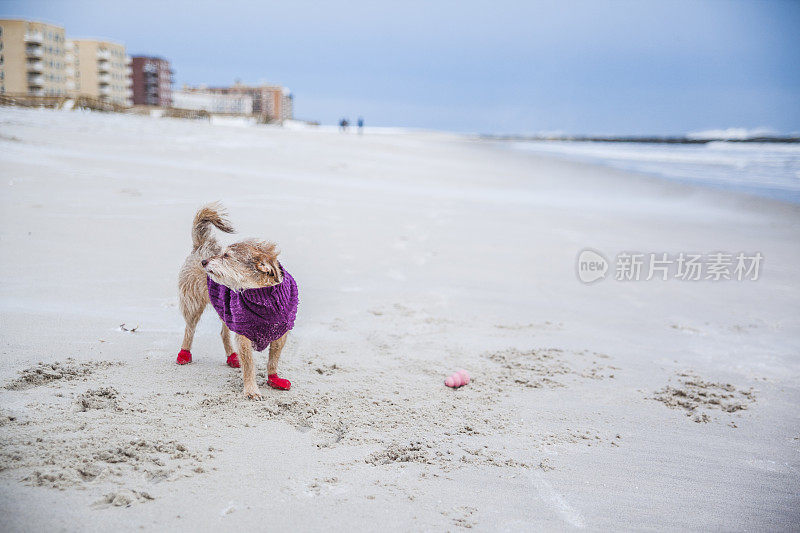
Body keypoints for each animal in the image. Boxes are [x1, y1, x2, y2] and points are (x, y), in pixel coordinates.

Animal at [177, 202, 298, 396]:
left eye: (226, 256)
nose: (204, 262)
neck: (264, 297)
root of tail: (201, 245)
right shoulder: (243, 335)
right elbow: (249, 365)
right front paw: (251, 390)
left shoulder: (281, 334)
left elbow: (273, 360)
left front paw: (273, 379)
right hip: (193, 305)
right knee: (190, 330)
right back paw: (184, 354)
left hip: (227, 309)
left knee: (223, 333)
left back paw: (232, 357)